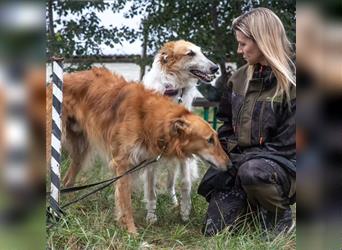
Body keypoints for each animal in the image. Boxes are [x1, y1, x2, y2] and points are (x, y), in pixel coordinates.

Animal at [142, 40, 219, 222]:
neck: (172, 89)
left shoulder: (184, 151)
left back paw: (175, 203)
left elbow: (185, 183)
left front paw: (185, 211)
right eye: (190, 53)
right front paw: (151, 216)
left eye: (201, 51)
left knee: (171, 185)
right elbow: (151, 190)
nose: (215, 68)